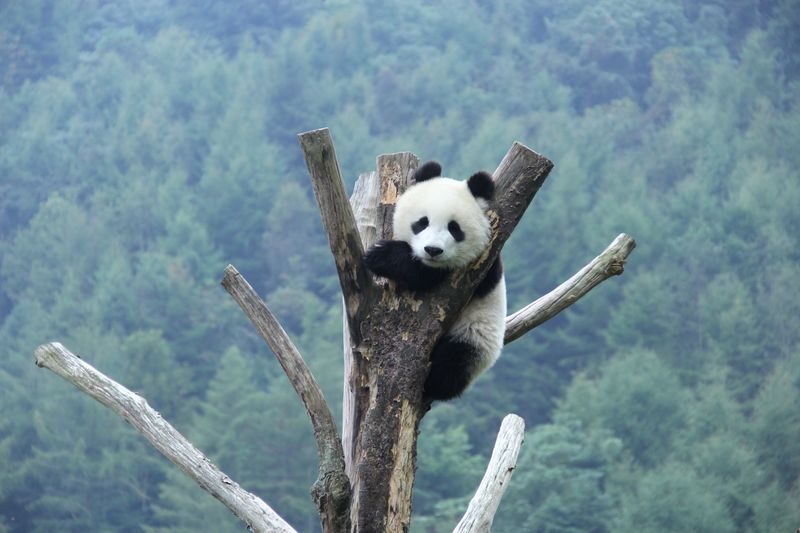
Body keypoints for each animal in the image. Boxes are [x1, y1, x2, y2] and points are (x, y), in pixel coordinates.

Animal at [363, 161, 506, 401]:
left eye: (455, 228)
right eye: (422, 223)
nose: (432, 250)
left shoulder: (483, 265)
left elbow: (425, 275)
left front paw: (380, 255)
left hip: (476, 338)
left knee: (453, 363)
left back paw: (433, 382)